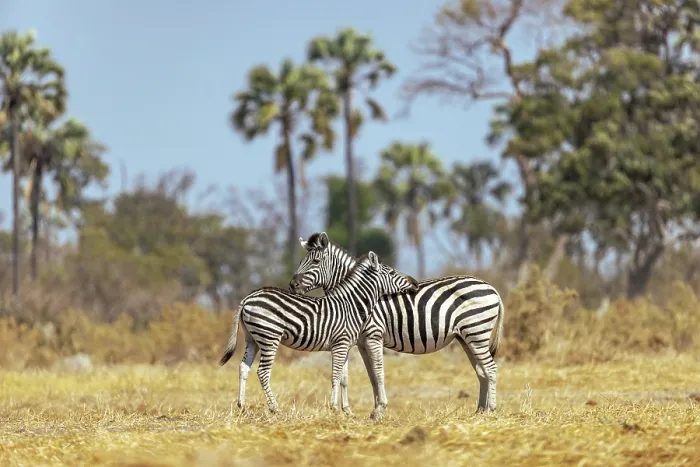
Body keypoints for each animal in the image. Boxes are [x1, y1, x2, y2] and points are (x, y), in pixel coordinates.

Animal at [219, 251, 419, 419]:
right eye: (391, 272)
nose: (415, 283)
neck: (351, 305)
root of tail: (248, 298)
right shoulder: (340, 344)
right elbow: (335, 375)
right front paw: (334, 408)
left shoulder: (345, 346)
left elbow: (344, 378)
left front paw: (348, 412)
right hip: (269, 337)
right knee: (262, 372)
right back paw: (275, 408)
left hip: (252, 338)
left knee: (243, 367)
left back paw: (242, 406)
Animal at [288, 232, 505, 414]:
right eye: (299, 261)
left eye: (315, 261)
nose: (292, 285)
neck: (356, 296)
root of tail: (493, 288)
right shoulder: (359, 342)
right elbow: (362, 376)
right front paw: (364, 411)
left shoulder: (373, 336)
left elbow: (378, 373)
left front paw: (378, 410)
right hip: (467, 337)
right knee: (482, 371)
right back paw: (480, 412)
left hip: (476, 332)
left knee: (491, 369)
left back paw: (491, 410)